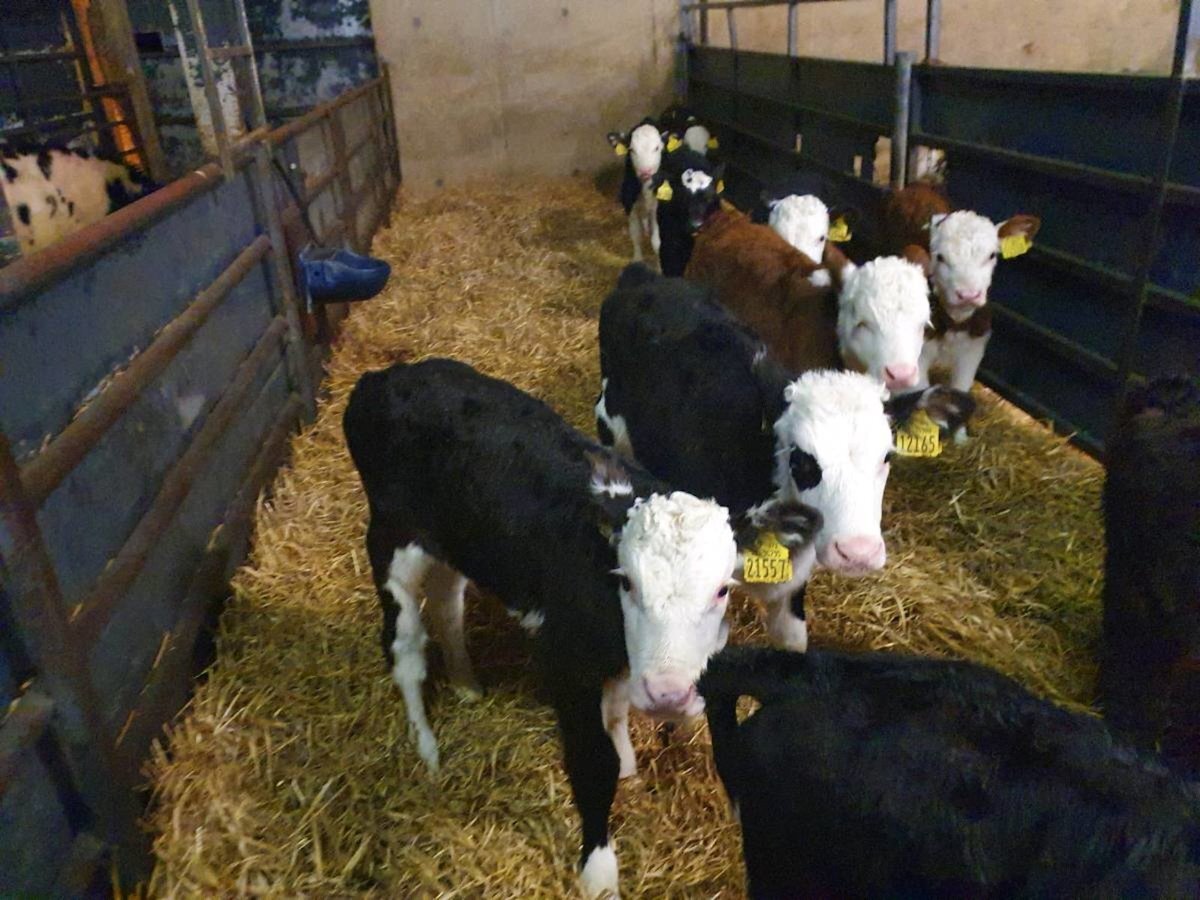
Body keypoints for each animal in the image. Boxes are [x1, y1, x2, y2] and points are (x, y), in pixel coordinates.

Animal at [343, 357, 820, 899]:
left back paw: (466, 683)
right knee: (403, 649)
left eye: (722, 590)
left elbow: (647, 719)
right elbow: (593, 763)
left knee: (447, 602)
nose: (667, 694)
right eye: (626, 581)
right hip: (392, 541)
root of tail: (388, 375)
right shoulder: (566, 662)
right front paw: (599, 873)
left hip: (456, 543)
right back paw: (425, 746)